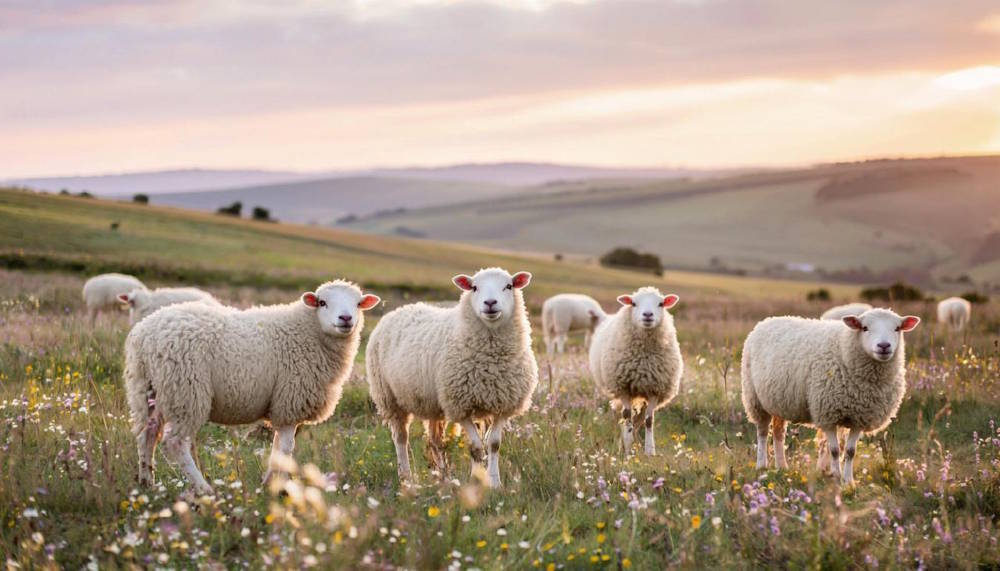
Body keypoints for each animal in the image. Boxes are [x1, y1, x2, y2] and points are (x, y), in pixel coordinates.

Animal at [124, 280, 380, 495]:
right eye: (323, 302)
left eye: (358, 303)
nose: (346, 318)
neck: (309, 331)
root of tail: (144, 336)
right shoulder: (290, 401)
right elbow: (286, 448)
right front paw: (278, 487)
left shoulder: (283, 406)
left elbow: (277, 448)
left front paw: (268, 483)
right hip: (185, 391)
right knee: (175, 442)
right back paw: (203, 489)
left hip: (145, 390)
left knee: (146, 434)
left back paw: (147, 482)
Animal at [366, 267, 538, 488]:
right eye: (474, 287)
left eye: (508, 286)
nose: (490, 303)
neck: (491, 363)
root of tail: (399, 309)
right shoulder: (459, 405)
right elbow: (475, 447)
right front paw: (476, 481)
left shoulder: (503, 406)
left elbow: (494, 444)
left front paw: (495, 483)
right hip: (389, 398)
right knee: (401, 437)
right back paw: (406, 477)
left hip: (431, 403)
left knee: (435, 440)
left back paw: (444, 476)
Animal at [588, 287, 682, 456]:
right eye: (633, 303)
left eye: (661, 304)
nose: (648, 315)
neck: (643, 360)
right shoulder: (624, 388)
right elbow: (627, 417)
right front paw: (627, 449)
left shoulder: (655, 389)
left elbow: (649, 420)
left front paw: (650, 451)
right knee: (623, 417)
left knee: (640, 419)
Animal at [741, 308, 920, 485]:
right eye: (865, 328)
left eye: (897, 328)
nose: (884, 346)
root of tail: (767, 320)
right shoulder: (826, 413)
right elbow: (834, 450)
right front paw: (836, 476)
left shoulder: (860, 417)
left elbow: (850, 451)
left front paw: (848, 481)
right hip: (755, 399)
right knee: (762, 433)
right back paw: (762, 466)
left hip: (778, 401)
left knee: (778, 433)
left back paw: (782, 466)